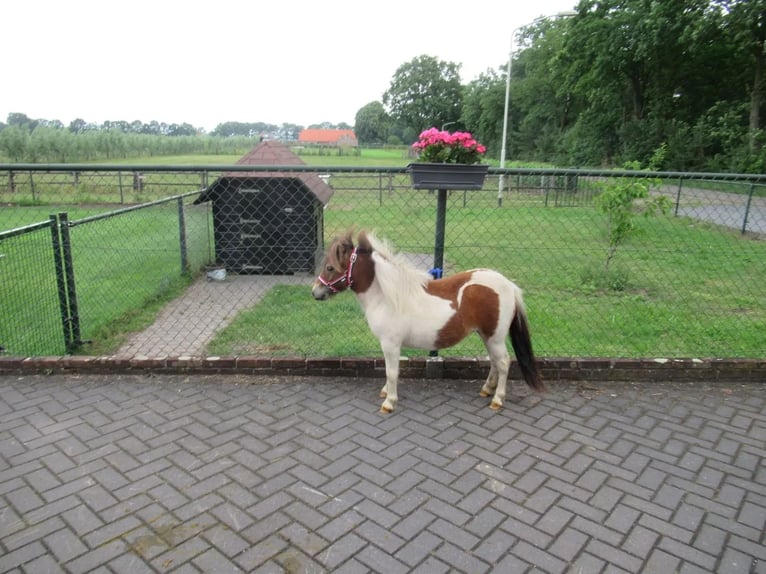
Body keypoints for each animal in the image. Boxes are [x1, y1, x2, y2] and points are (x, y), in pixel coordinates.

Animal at [311, 229, 545, 413]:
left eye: (330, 267)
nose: (315, 292)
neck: (387, 296)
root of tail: (508, 285)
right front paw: (386, 393)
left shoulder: (391, 344)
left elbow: (392, 372)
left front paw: (389, 402)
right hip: (487, 336)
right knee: (495, 361)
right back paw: (487, 390)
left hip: (494, 337)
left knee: (504, 362)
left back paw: (497, 399)